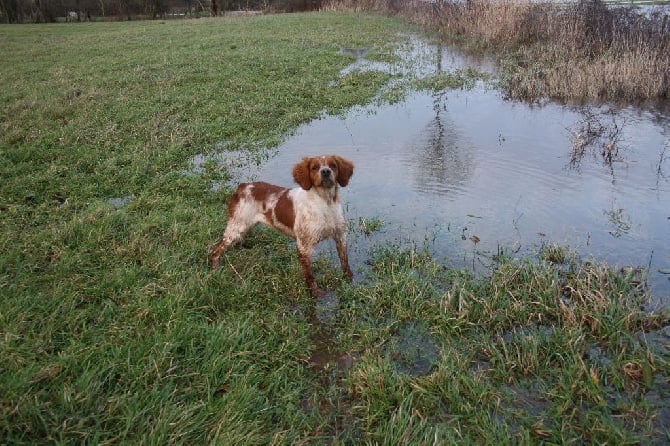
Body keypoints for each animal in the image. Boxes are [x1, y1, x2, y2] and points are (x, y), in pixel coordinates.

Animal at [211, 155, 356, 298]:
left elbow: (345, 262)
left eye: (333, 165)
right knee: (215, 250)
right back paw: (214, 270)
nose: (325, 172)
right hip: (235, 229)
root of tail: (243, 186)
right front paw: (315, 293)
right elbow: (309, 275)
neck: (325, 203)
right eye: (314, 167)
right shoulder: (304, 245)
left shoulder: (340, 236)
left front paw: (349, 280)